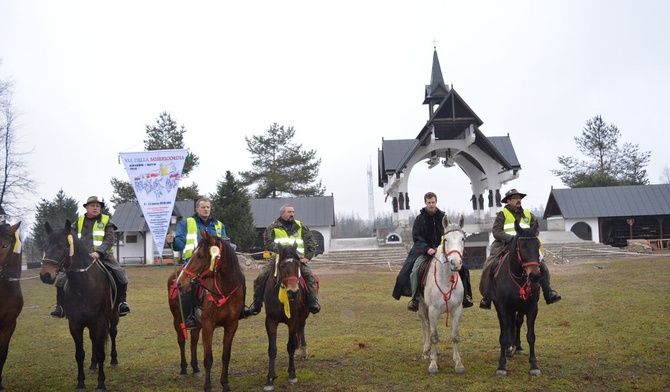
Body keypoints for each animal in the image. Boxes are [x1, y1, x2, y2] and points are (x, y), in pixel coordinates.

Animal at [39, 220, 119, 392]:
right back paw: (93, 365)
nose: (45, 275)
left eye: (62, 246)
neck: (83, 286)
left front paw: (101, 384)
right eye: (45, 246)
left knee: (112, 333)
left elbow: (101, 352)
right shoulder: (75, 324)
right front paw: (81, 383)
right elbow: (80, 354)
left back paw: (114, 361)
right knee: (94, 341)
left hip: (113, 317)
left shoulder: (100, 322)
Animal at [175, 230, 245, 392]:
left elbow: (226, 356)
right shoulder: (208, 326)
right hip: (178, 319)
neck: (224, 291)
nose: (180, 282)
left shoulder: (231, 326)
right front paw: (207, 386)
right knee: (181, 341)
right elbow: (208, 359)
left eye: (200, 255)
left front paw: (225, 384)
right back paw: (183, 370)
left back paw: (195, 369)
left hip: (197, 324)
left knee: (193, 341)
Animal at [262, 243, 312, 390]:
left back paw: (303, 351)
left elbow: (290, 346)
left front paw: (292, 374)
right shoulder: (271, 321)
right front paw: (270, 379)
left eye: (298, 264)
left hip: (303, 315)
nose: (293, 292)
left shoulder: (293, 319)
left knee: (301, 329)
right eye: (282, 266)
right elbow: (272, 349)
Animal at [420, 216, 468, 376]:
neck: (446, 279)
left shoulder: (457, 310)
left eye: (463, 238)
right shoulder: (433, 310)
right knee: (426, 326)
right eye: (445, 239)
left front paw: (458, 364)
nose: (456, 262)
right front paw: (433, 365)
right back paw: (426, 351)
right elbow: (434, 336)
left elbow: (455, 336)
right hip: (422, 308)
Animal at [488, 220, 544, 376]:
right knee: (509, 325)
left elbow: (531, 336)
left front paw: (534, 365)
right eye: (522, 246)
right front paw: (501, 365)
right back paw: (509, 348)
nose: (535, 276)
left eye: (537, 245)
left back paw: (516, 347)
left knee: (517, 323)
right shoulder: (502, 307)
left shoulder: (531, 308)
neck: (518, 276)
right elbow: (503, 335)